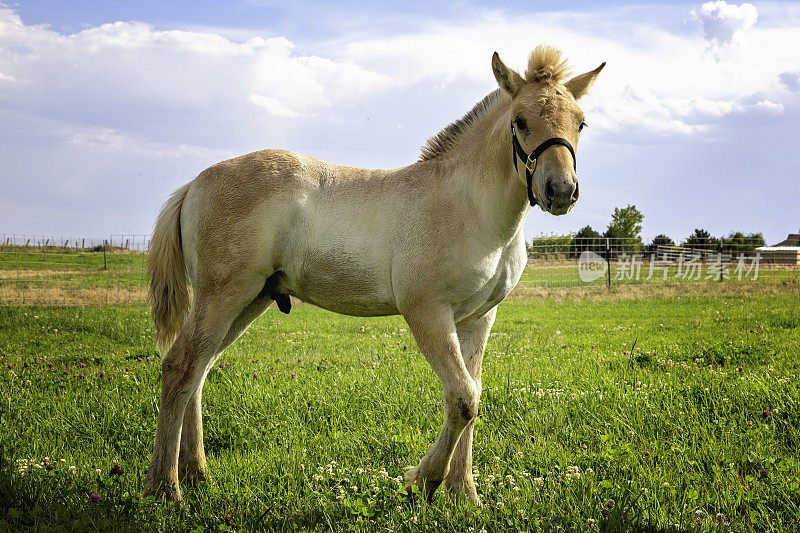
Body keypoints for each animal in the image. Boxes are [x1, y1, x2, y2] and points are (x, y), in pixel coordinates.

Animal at [145, 45, 608, 502]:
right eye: (520, 121)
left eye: (581, 123)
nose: (561, 191)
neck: (469, 208)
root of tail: (194, 184)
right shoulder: (427, 312)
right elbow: (463, 398)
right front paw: (424, 480)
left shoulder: (479, 318)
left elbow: (475, 397)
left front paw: (465, 495)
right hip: (222, 295)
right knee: (181, 365)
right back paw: (165, 487)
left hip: (250, 299)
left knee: (201, 368)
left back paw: (196, 473)